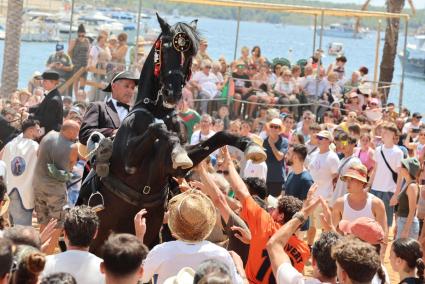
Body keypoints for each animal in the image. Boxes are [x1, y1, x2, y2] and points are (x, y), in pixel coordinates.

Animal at [85, 15, 264, 255]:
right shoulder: (128, 162)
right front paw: (175, 148)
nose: (173, 92)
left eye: (191, 54)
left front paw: (251, 146)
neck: (158, 110)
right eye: (167, 47)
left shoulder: (177, 166)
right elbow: (159, 128)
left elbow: (219, 136)